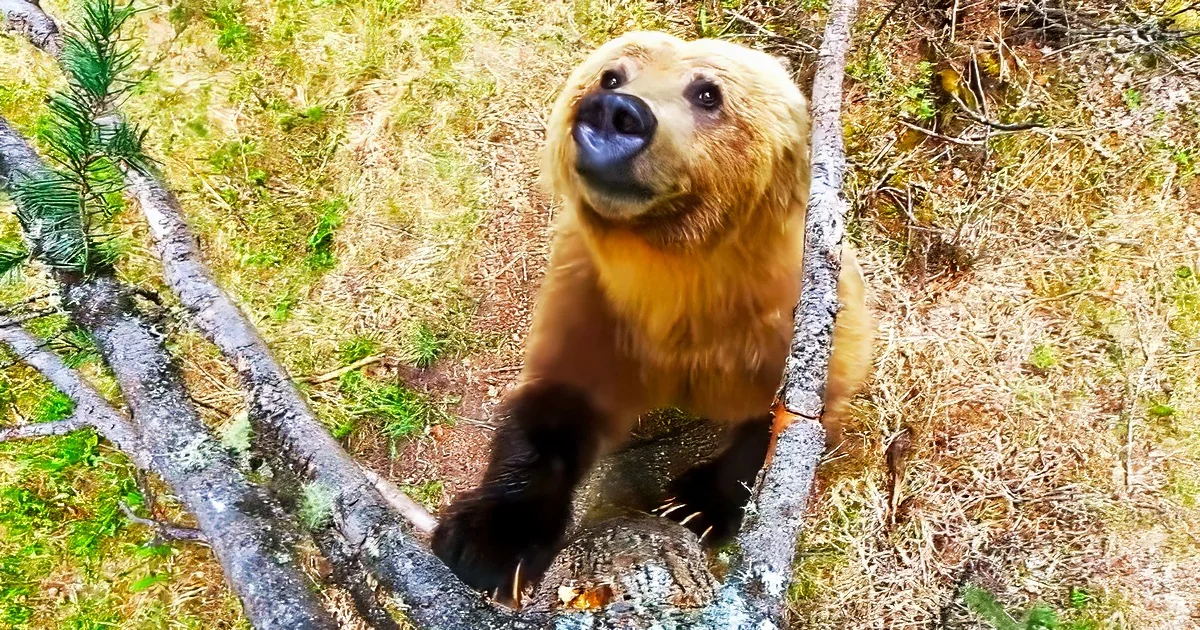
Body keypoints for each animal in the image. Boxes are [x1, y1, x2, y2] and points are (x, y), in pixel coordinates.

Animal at [431, 30, 874, 600]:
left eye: (708, 93)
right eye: (611, 75)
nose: (614, 112)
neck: (677, 284)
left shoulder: (783, 325)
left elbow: (780, 423)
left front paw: (694, 504)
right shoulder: (596, 307)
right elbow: (556, 408)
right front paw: (487, 541)